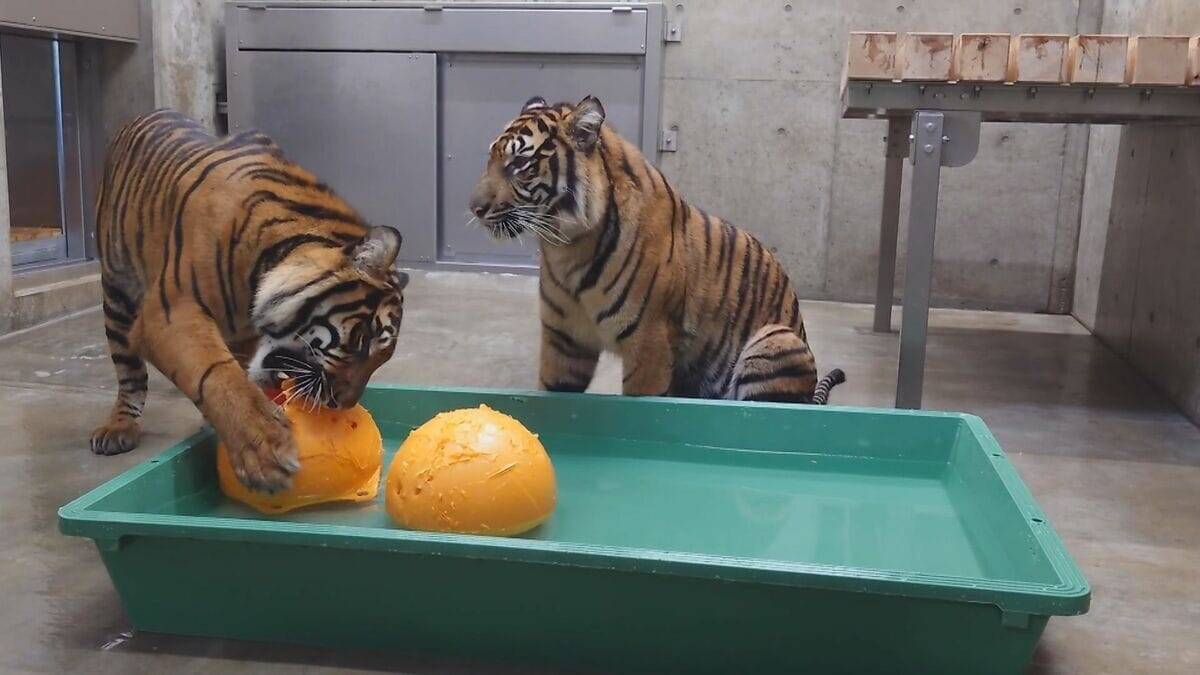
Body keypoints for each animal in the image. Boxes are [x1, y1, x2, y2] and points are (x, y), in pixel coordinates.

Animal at [91, 110, 407, 492]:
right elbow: (218, 375)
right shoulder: (169, 312)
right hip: (116, 295)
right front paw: (264, 448)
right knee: (130, 374)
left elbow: (243, 371)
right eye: (363, 340)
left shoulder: (244, 334)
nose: (341, 404)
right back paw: (118, 428)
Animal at [468, 96, 844, 404]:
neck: (566, 246)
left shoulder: (648, 342)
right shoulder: (564, 342)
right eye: (490, 158)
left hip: (775, 340)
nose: (474, 208)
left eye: (519, 165)